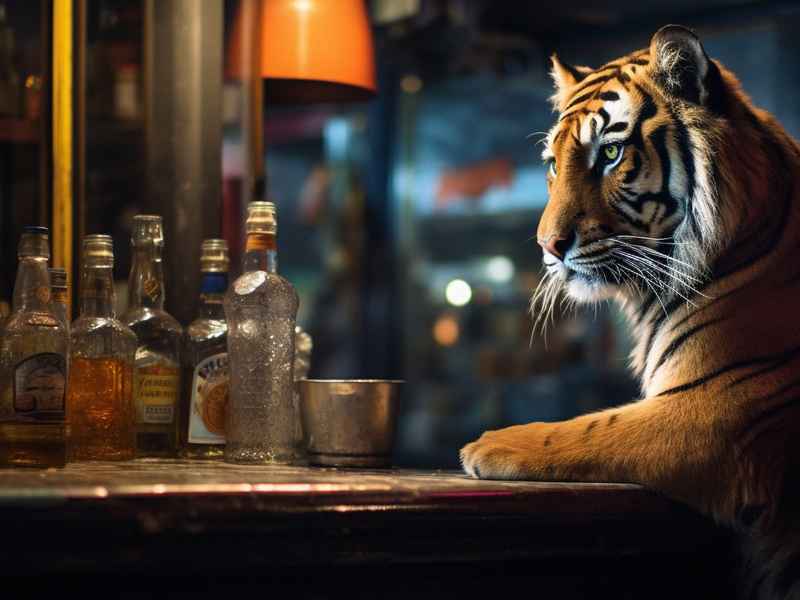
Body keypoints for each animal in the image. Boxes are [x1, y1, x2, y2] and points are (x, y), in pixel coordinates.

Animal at [459, 24, 800, 599]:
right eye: (554, 164)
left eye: (612, 153)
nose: (548, 247)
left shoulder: (715, 413)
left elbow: (589, 428)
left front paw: (489, 444)